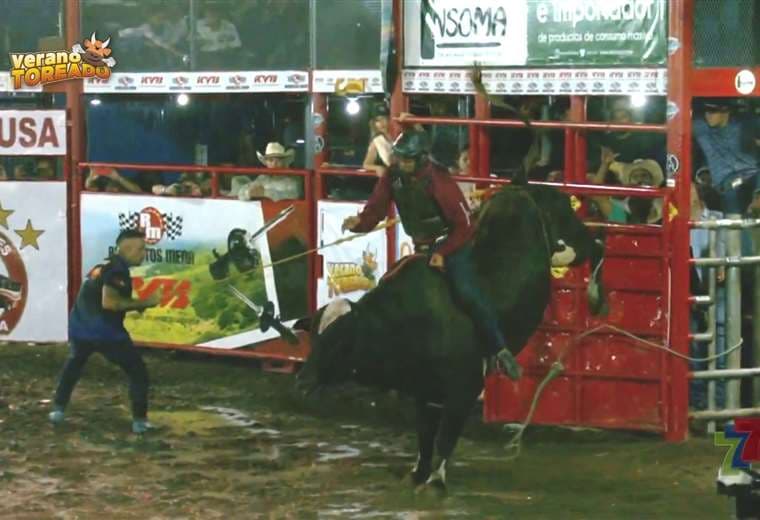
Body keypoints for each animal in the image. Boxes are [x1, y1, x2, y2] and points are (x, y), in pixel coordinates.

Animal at [294, 185, 604, 490]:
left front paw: (436, 480)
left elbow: (446, 436)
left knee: (597, 245)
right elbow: (425, 437)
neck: (407, 321)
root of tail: (525, 188)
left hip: (571, 244)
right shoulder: (424, 390)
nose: (303, 380)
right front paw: (418, 473)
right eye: (314, 338)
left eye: (339, 340)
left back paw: (597, 298)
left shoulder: (463, 388)